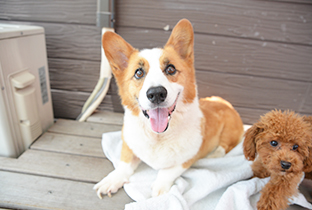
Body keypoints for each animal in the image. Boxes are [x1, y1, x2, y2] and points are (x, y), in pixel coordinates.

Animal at [92, 18, 244, 199]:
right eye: (138, 73)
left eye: (170, 69)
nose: (156, 93)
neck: (158, 137)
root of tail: (225, 102)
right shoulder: (130, 146)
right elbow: (124, 164)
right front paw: (111, 180)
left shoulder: (187, 158)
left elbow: (168, 171)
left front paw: (159, 189)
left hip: (229, 130)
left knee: (225, 146)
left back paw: (214, 155)